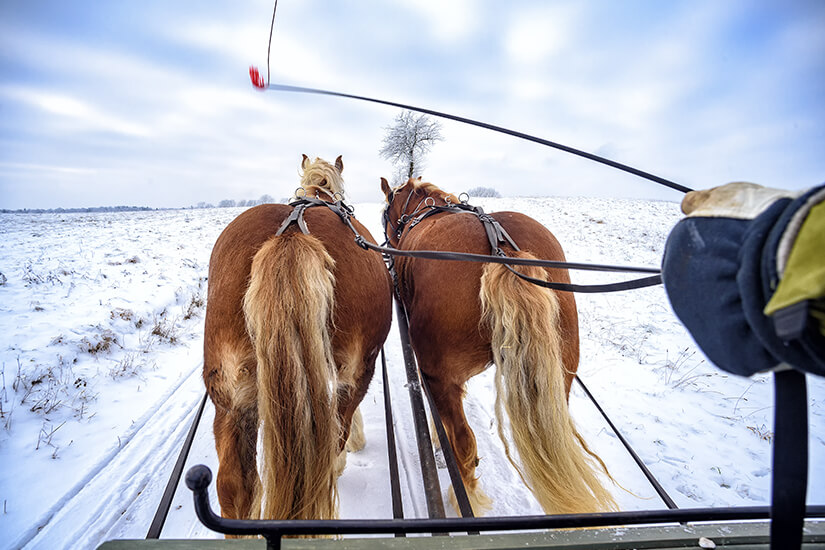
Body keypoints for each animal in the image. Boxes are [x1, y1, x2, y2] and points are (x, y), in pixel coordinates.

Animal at [201, 155, 392, 528]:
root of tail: (289, 237)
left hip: (232, 394)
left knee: (235, 487)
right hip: (358, 368)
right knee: (334, 438)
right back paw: (341, 460)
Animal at [380, 177, 616, 516]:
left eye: (386, 212)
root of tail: (501, 251)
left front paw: (438, 442)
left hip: (438, 374)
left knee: (465, 444)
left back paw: (464, 494)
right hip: (560, 372)